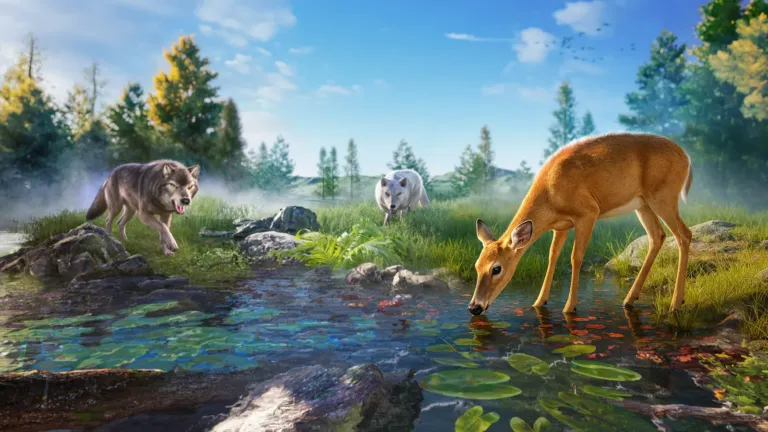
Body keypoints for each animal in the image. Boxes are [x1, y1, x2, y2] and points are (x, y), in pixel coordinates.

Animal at [468, 132, 693, 316]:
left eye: (496, 269)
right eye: (476, 265)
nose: (474, 307)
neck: (551, 195)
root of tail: (687, 158)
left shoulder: (588, 212)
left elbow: (575, 257)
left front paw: (569, 307)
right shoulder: (561, 226)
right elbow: (552, 256)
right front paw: (539, 302)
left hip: (663, 196)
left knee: (684, 234)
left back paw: (675, 303)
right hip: (643, 203)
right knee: (658, 236)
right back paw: (629, 299)